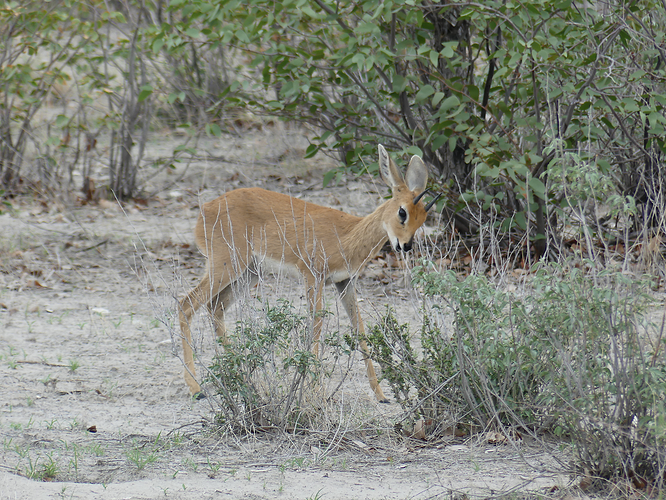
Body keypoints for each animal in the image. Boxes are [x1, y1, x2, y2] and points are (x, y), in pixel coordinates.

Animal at [176, 145, 438, 402]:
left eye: (423, 217)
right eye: (402, 212)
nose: (405, 246)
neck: (347, 234)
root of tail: (205, 209)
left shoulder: (345, 282)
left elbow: (360, 329)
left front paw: (381, 394)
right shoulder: (313, 275)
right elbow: (317, 324)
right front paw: (315, 389)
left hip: (248, 272)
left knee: (215, 306)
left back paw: (238, 373)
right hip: (226, 266)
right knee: (186, 303)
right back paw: (196, 388)